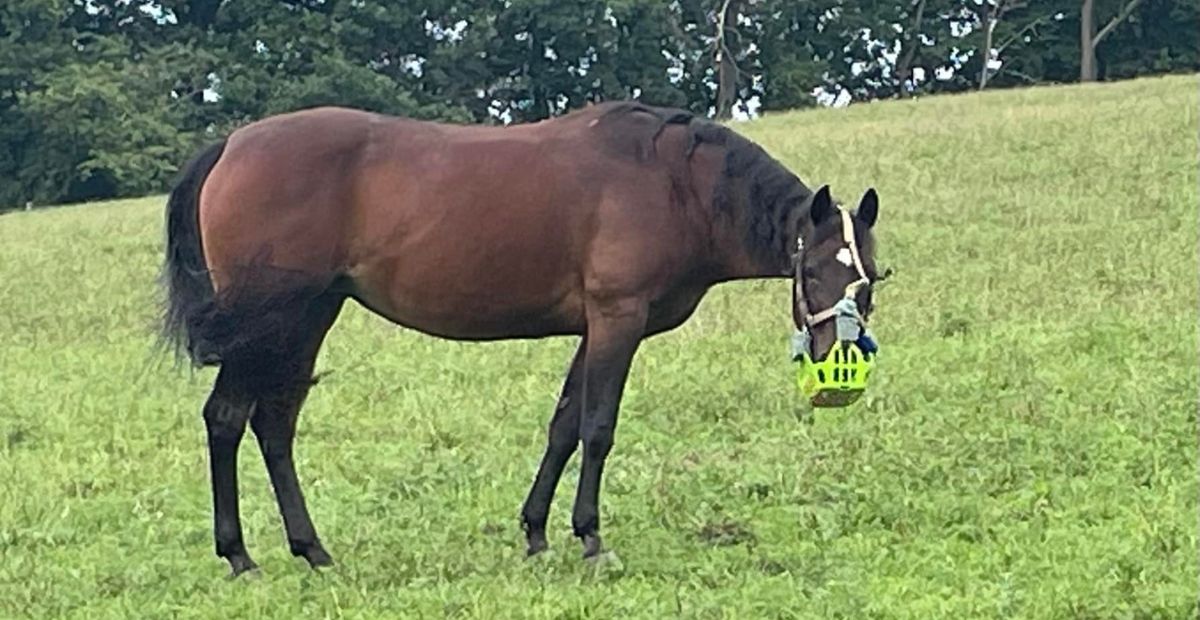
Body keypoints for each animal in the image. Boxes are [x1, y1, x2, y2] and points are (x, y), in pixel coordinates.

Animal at [159, 97, 883, 575]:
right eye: (814, 271)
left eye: (873, 277)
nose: (839, 369)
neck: (674, 184)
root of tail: (231, 146)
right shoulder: (618, 319)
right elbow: (597, 427)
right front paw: (590, 538)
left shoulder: (597, 327)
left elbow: (563, 426)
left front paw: (536, 533)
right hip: (269, 322)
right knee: (227, 418)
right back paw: (240, 556)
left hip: (307, 318)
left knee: (273, 425)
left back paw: (311, 551)